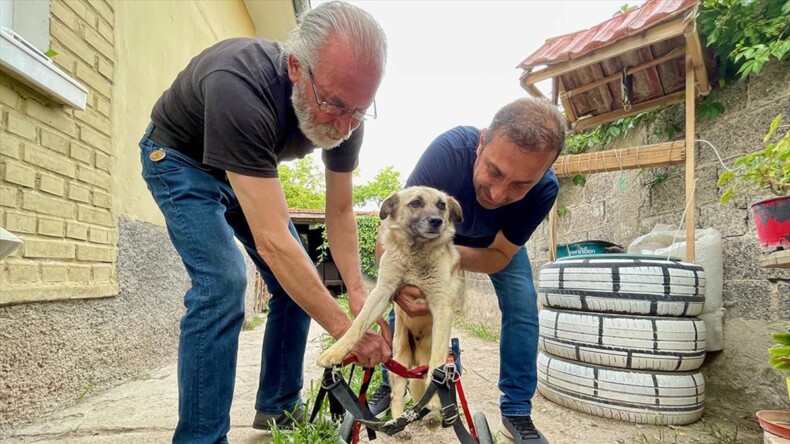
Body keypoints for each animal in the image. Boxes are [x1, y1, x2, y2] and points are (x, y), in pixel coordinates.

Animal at [316, 186, 464, 422]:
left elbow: (437, 364)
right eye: (416, 203)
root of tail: (414, 360)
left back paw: (432, 411)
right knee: (397, 397)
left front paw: (435, 399)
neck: (417, 253)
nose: (437, 221)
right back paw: (399, 420)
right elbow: (357, 325)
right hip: (398, 366)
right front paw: (335, 351)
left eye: (442, 205)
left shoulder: (441, 306)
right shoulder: (382, 292)